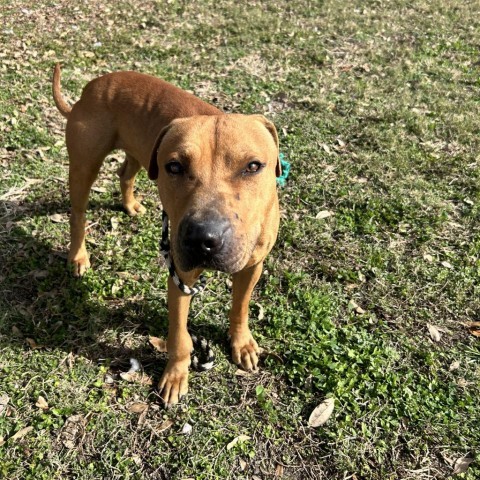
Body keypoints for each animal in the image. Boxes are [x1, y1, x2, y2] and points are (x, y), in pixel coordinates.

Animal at [51, 62, 282, 404]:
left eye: (253, 166)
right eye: (174, 167)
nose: (203, 239)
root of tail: (93, 85)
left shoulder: (252, 265)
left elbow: (240, 307)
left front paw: (242, 343)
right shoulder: (180, 278)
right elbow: (179, 337)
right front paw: (175, 375)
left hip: (139, 152)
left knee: (125, 172)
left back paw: (130, 204)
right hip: (84, 165)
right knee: (78, 214)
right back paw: (79, 256)